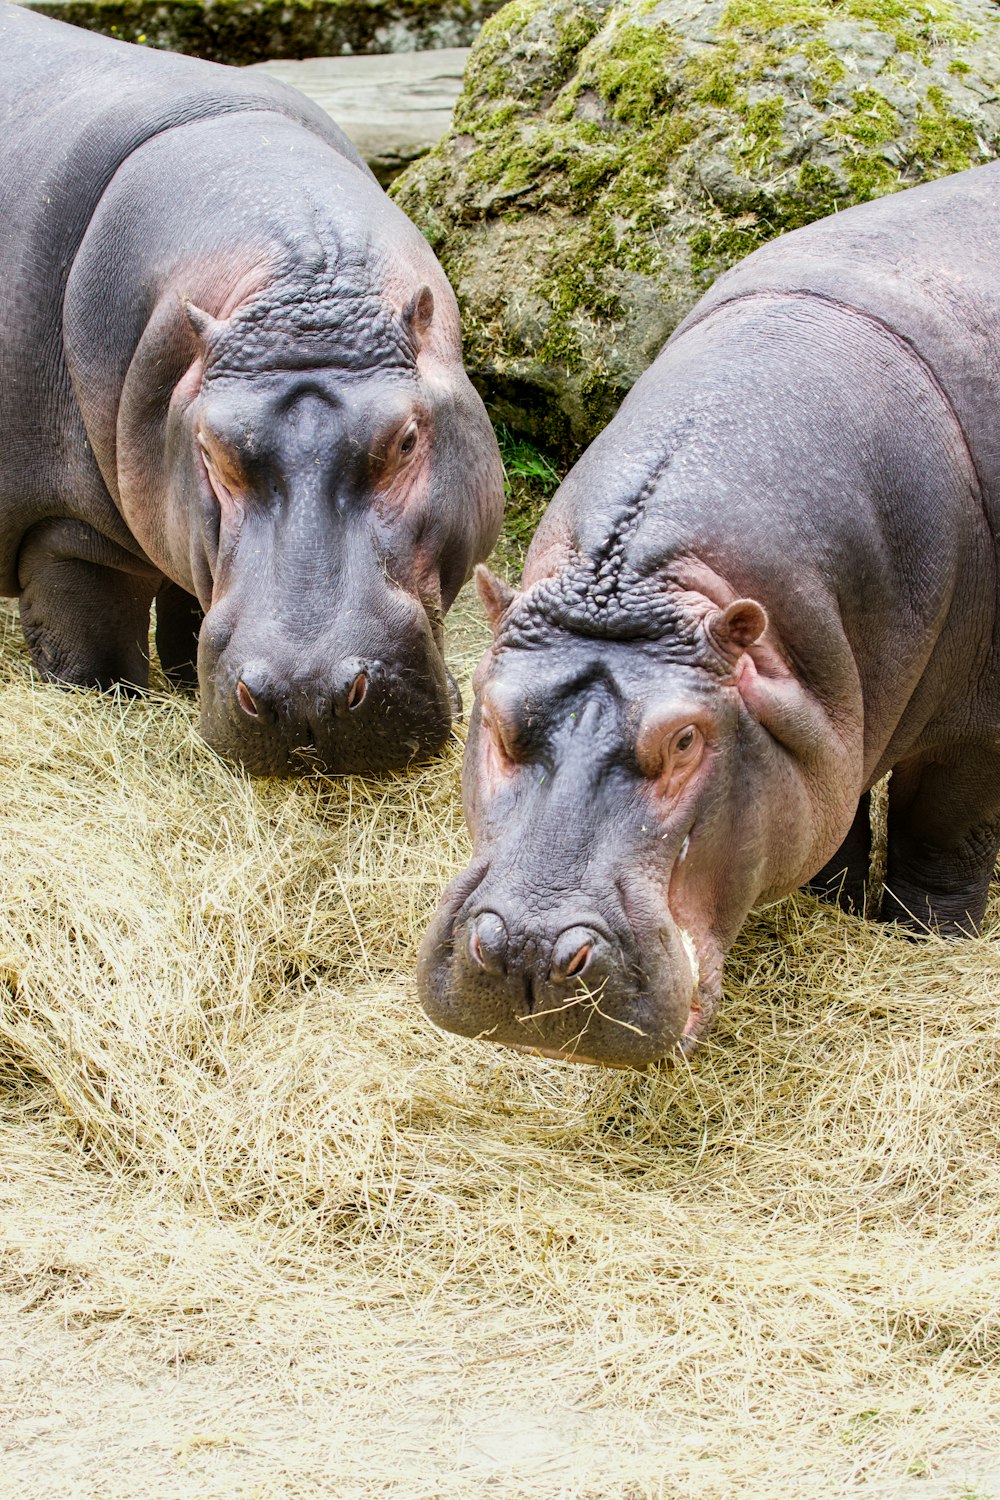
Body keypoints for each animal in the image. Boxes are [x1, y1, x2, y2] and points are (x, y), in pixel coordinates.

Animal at [0, 0, 500, 774]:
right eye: (211, 449)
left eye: (408, 438)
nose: (306, 694)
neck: (305, 285)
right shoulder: (70, 533)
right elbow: (93, 655)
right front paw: (115, 697)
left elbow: (189, 605)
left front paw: (182, 677)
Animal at [419, 161, 1000, 1068]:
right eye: (496, 717)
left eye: (688, 739)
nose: (527, 949)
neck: (643, 582)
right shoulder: (830, 719)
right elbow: (835, 816)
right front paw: (835, 901)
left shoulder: (972, 728)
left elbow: (944, 832)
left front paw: (927, 940)